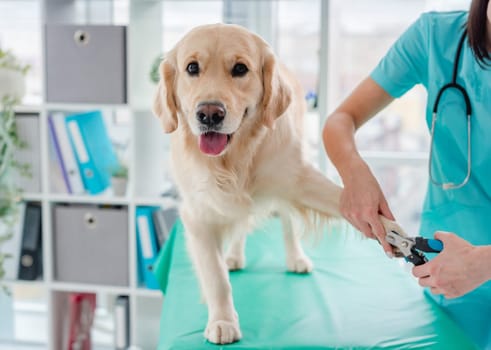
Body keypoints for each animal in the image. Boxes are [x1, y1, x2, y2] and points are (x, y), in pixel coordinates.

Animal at [153, 24, 404, 344]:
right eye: (191, 68)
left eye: (240, 69)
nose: (209, 114)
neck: (233, 160)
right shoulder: (199, 215)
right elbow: (216, 276)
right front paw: (222, 320)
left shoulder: (298, 178)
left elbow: (344, 200)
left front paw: (393, 229)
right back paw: (233, 256)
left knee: (287, 224)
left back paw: (296, 258)